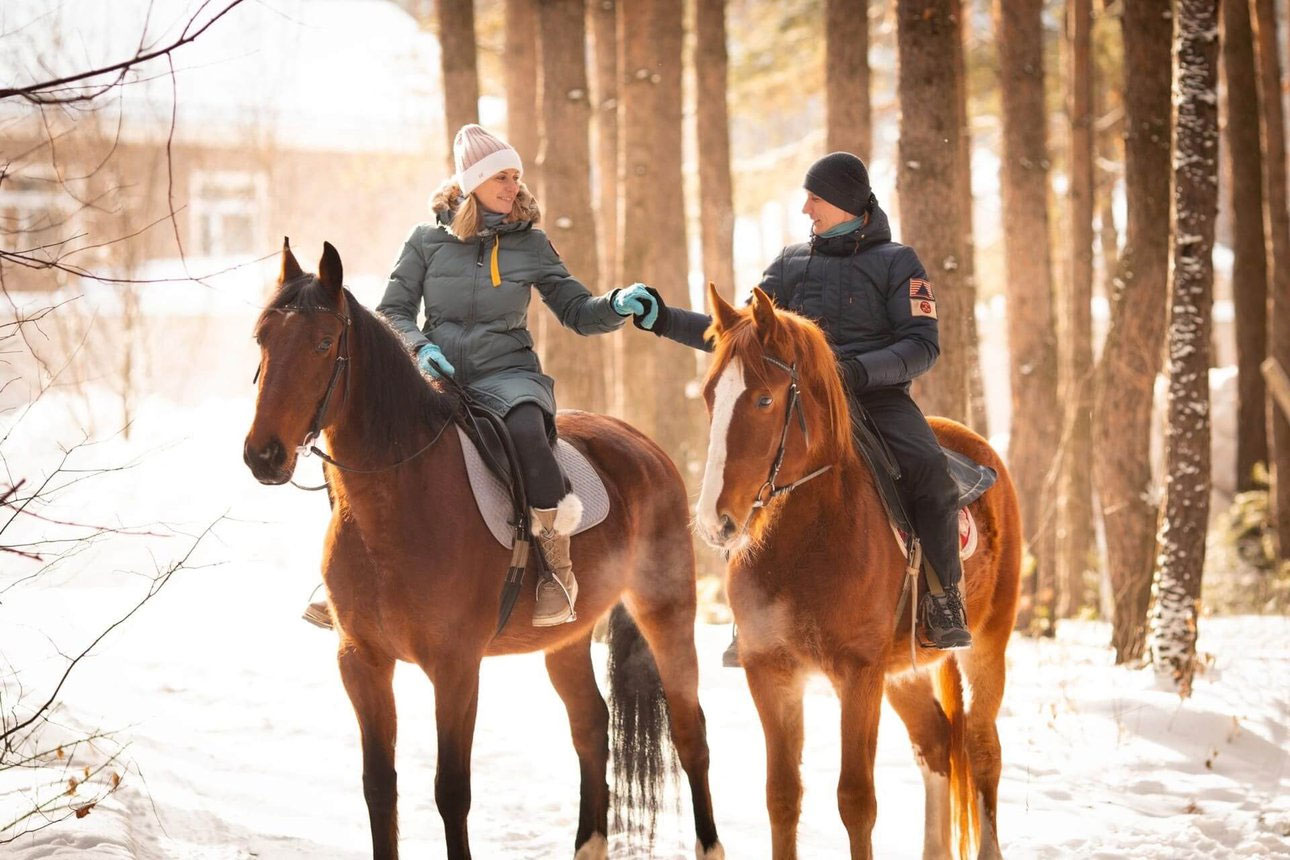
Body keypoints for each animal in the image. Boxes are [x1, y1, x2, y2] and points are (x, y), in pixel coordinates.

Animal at [242, 242, 727, 860]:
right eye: (262, 337)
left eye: (324, 343)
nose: (263, 455)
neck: (397, 503)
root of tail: (643, 445)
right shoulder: (361, 662)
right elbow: (379, 787)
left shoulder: (455, 668)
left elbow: (451, 791)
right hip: (567, 639)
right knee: (591, 728)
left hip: (666, 614)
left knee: (691, 734)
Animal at [696, 287, 1016, 860]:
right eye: (712, 395)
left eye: (763, 400)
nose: (716, 521)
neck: (805, 543)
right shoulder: (771, 672)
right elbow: (782, 795)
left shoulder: (859, 674)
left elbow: (856, 800)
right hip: (903, 671)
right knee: (936, 741)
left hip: (986, 643)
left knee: (982, 748)